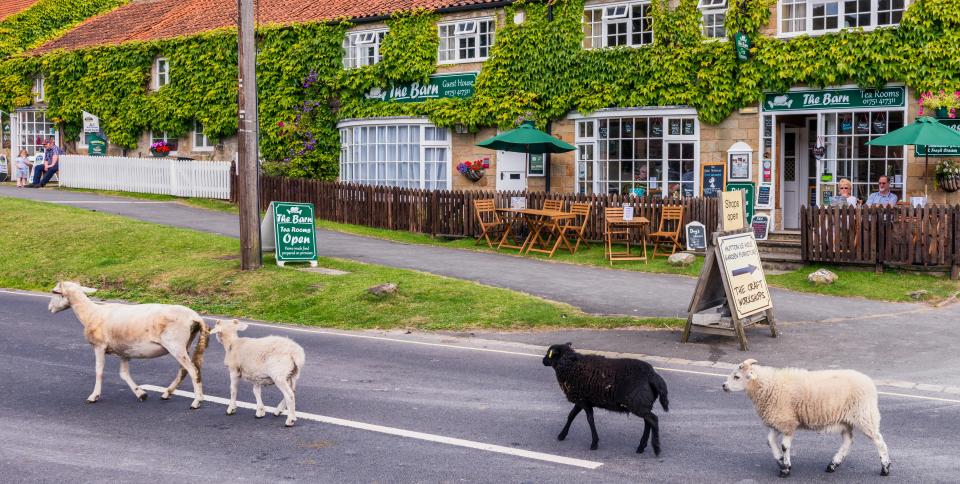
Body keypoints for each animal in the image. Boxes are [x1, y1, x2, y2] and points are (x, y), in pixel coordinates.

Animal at [47, 280, 209, 408]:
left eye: (54, 291)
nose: (49, 309)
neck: (90, 314)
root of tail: (195, 317)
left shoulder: (99, 346)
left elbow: (99, 371)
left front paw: (93, 396)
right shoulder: (124, 351)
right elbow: (124, 374)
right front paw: (141, 394)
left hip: (176, 345)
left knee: (193, 370)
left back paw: (197, 401)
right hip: (185, 344)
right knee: (184, 370)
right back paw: (167, 393)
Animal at [544, 342, 672, 456]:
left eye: (549, 354)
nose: (543, 361)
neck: (570, 365)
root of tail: (652, 375)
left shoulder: (583, 401)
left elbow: (589, 419)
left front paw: (594, 443)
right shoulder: (582, 400)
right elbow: (571, 416)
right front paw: (562, 435)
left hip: (638, 404)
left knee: (653, 420)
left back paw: (656, 448)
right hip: (643, 404)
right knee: (648, 422)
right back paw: (641, 447)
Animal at [720, 360, 892, 476]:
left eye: (736, 377)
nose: (723, 386)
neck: (768, 386)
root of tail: (870, 383)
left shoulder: (787, 422)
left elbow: (785, 446)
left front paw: (785, 468)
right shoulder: (779, 421)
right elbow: (769, 441)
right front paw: (780, 461)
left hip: (865, 415)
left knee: (879, 440)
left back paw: (885, 467)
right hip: (845, 420)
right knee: (848, 441)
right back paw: (833, 465)